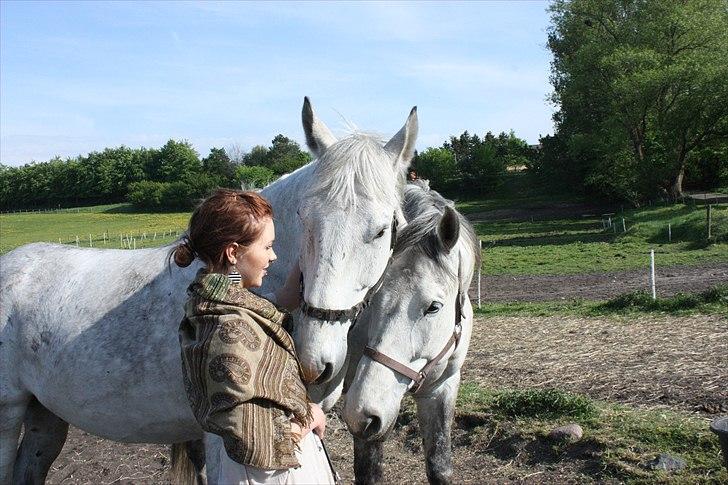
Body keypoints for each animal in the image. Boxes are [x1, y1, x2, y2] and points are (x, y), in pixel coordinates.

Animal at [344, 184, 480, 484]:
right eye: (372, 297)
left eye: (434, 307)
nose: (362, 412)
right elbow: (369, 472)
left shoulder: (440, 390)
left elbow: (439, 467)